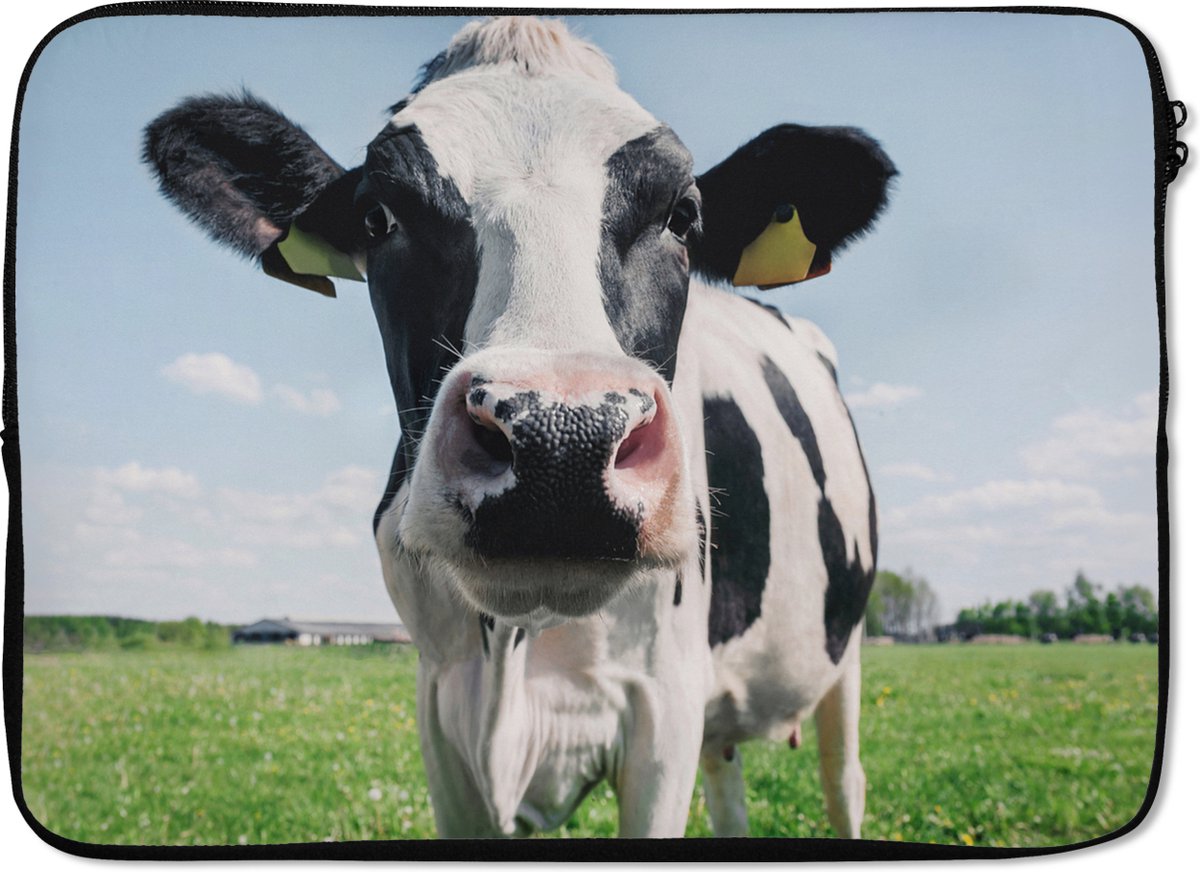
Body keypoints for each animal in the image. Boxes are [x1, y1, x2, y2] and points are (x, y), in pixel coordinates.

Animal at [143, 17, 894, 838]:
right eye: (378, 216)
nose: (562, 441)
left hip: (844, 653)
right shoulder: (441, 706)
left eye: (682, 216)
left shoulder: (663, 702)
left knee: (845, 780)